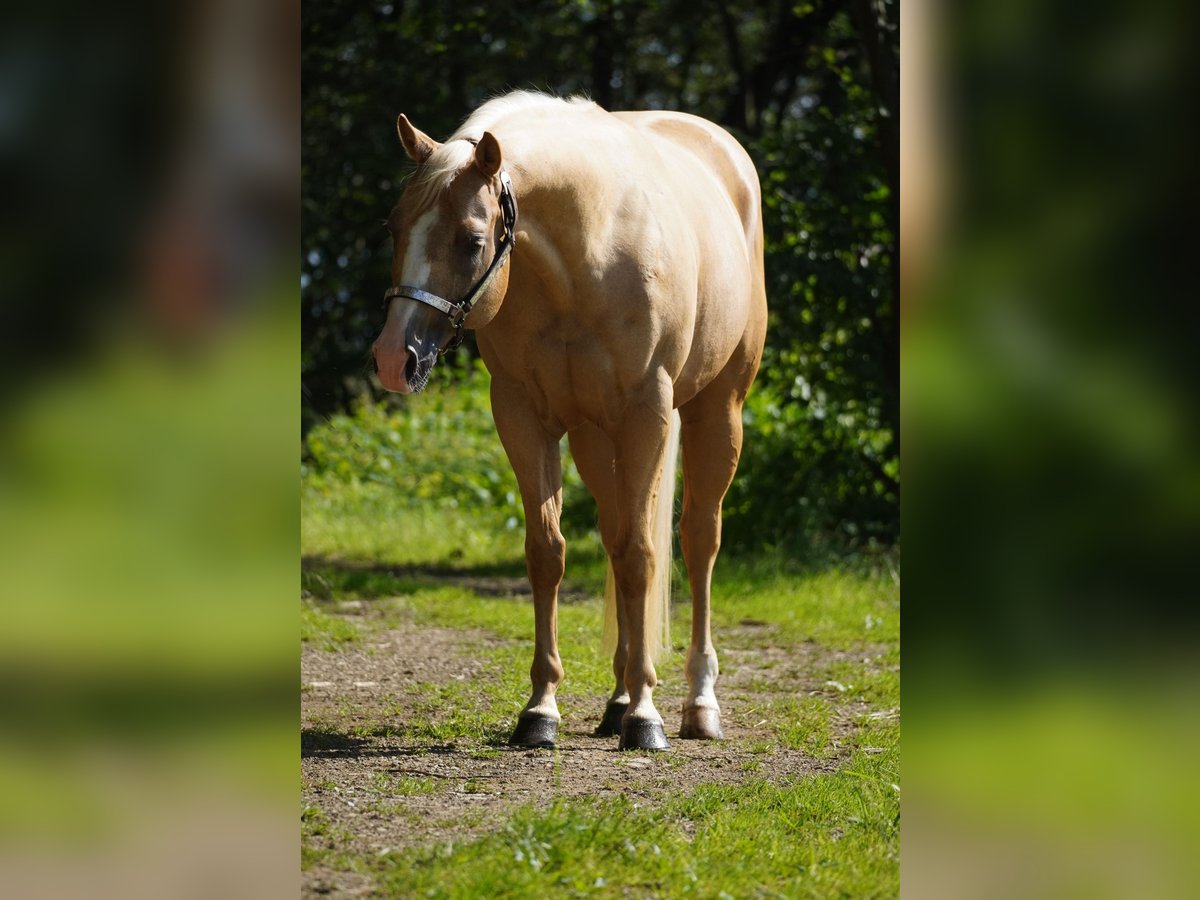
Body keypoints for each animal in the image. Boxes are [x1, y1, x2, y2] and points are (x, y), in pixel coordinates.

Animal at [369, 93, 768, 753]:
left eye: (471, 239)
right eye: (394, 228)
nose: (392, 360)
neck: (589, 254)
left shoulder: (647, 415)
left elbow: (642, 555)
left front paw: (647, 717)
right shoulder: (523, 416)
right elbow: (548, 552)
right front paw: (541, 709)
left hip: (716, 412)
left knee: (696, 542)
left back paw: (695, 704)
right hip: (593, 438)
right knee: (613, 538)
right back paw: (617, 699)